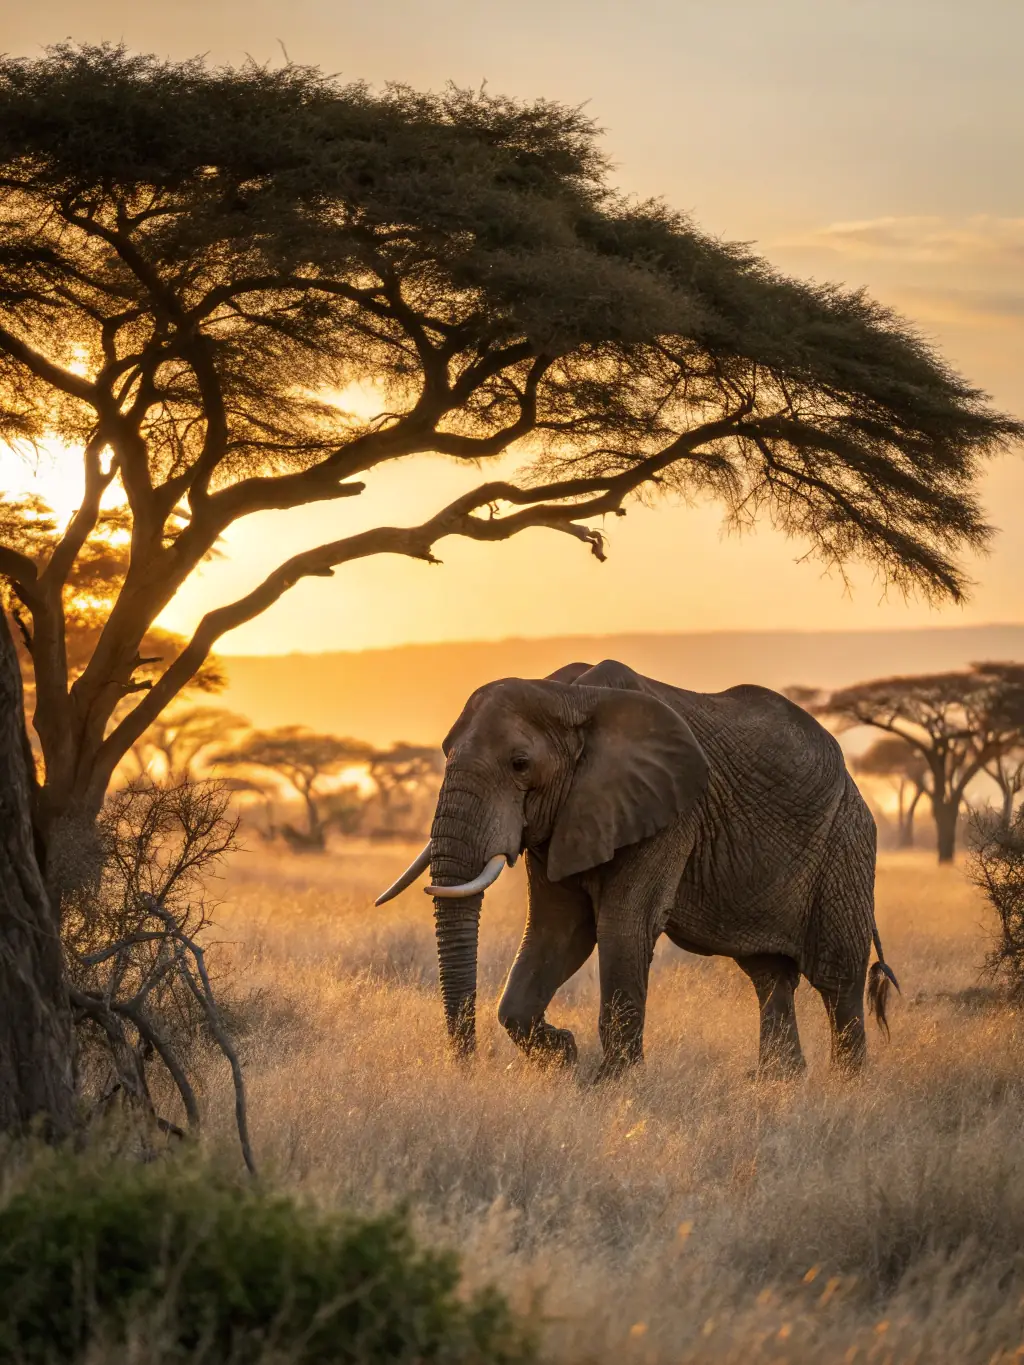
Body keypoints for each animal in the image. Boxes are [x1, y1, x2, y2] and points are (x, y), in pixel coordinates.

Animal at [376, 659, 899, 1078]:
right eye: (445, 753)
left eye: (520, 764)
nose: (464, 1068)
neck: (571, 697)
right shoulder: (562, 819)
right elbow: (556, 930)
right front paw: (565, 1056)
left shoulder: (670, 811)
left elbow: (623, 926)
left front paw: (611, 1086)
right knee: (770, 975)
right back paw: (777, 1084)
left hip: (847, 842)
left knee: (838, 977)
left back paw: (843, 1088)